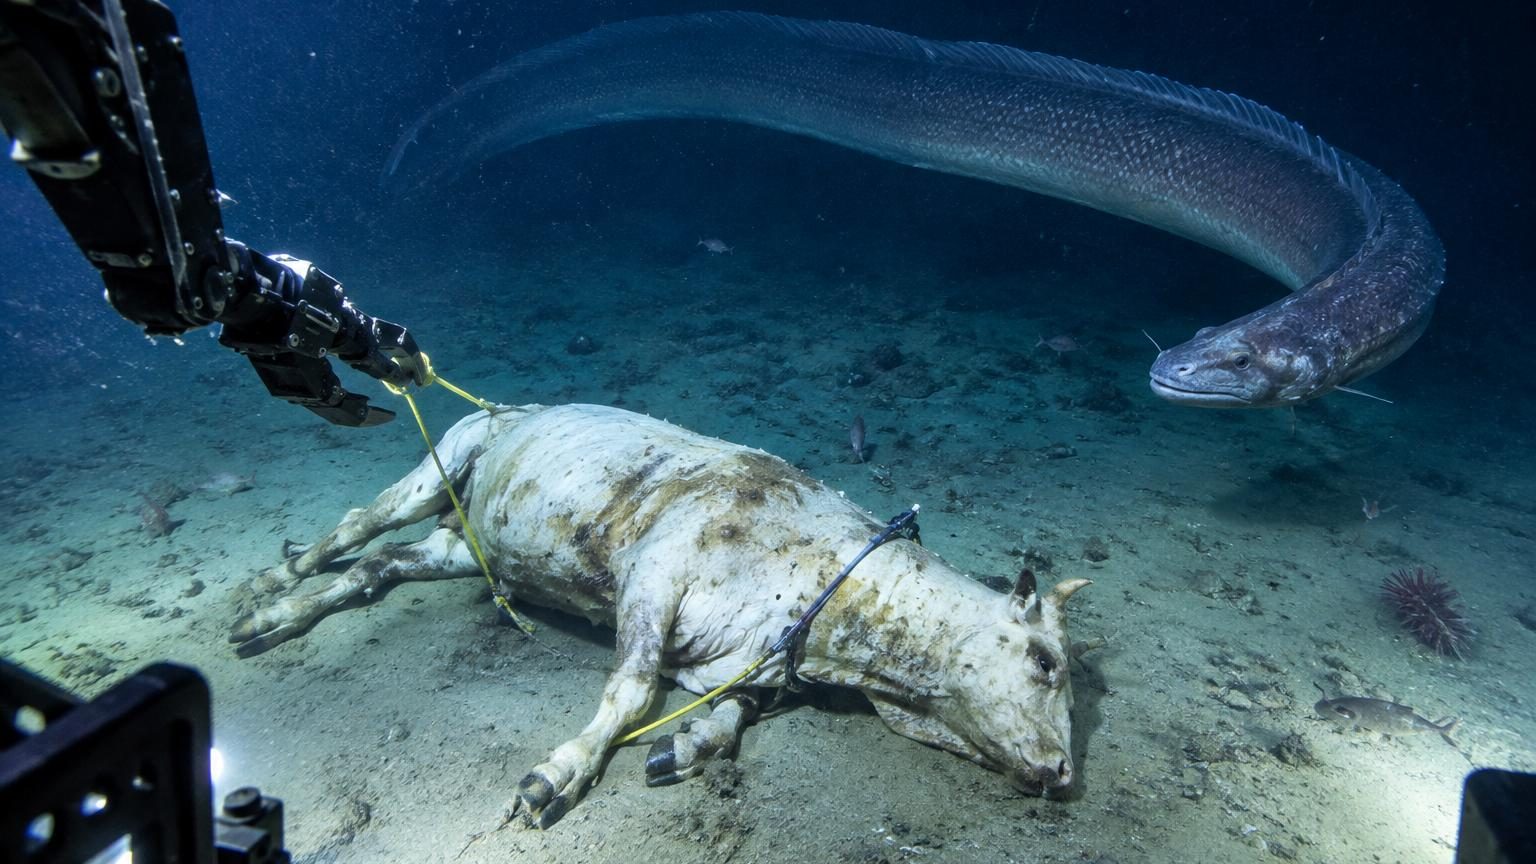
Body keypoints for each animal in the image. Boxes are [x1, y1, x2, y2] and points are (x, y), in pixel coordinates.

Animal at [230, 403, 1090, 827]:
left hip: (463, 543)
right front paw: (557, 773)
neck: (840, 601)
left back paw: (286, 612)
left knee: (378, 567)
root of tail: (512, 407)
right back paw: (272, 587)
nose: (1062, 771)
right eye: (1045, 661)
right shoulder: (654, 577)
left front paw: (684, 746)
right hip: (441, 463)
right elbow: (633, 689)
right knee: (357, 526)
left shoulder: (748, 661)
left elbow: (730, 715)